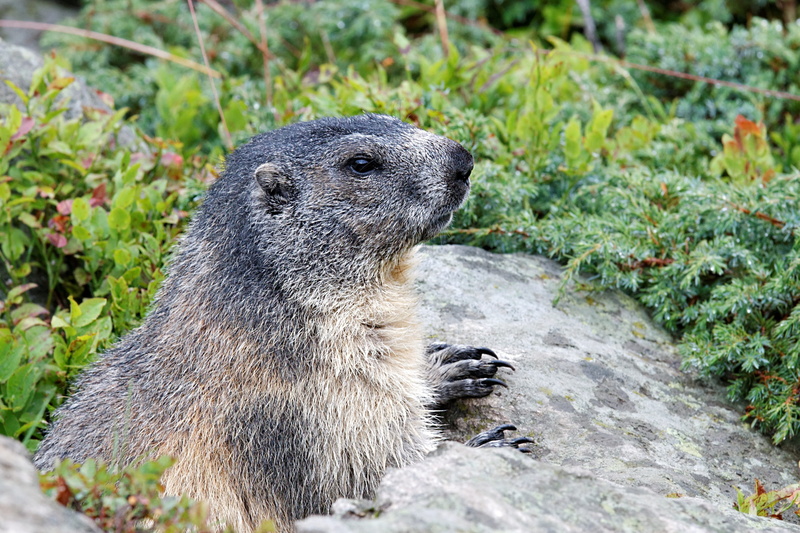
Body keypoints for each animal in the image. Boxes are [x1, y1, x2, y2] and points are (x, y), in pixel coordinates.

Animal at [34, 114, 530, 532]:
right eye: (362, 164)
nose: (464, 160)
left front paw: (453, 365)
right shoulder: (315, 401)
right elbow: (365, 465)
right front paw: (485, 447)